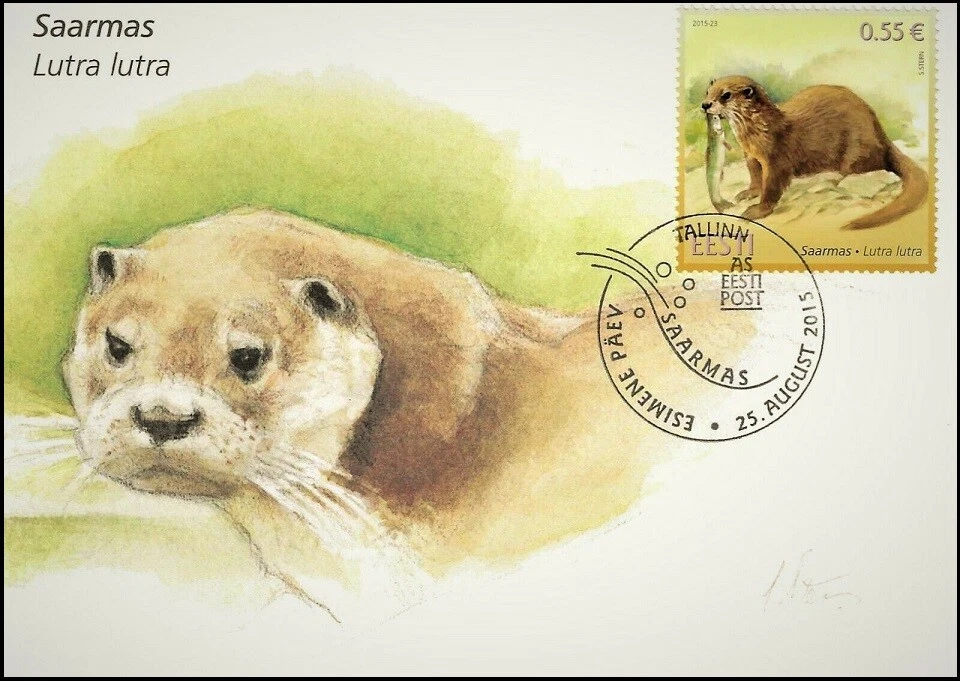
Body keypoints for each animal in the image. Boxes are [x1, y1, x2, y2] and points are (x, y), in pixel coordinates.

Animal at [702, 75, 928, 230]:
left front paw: (758, 210)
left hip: (858, 149)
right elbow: (755, 176)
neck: (761, 131)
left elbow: (773, 185)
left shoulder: (777, 157)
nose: (705, 104)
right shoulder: (751, 156)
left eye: (725, 95)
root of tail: (879, 129)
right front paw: (749, 193)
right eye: (708, 91)